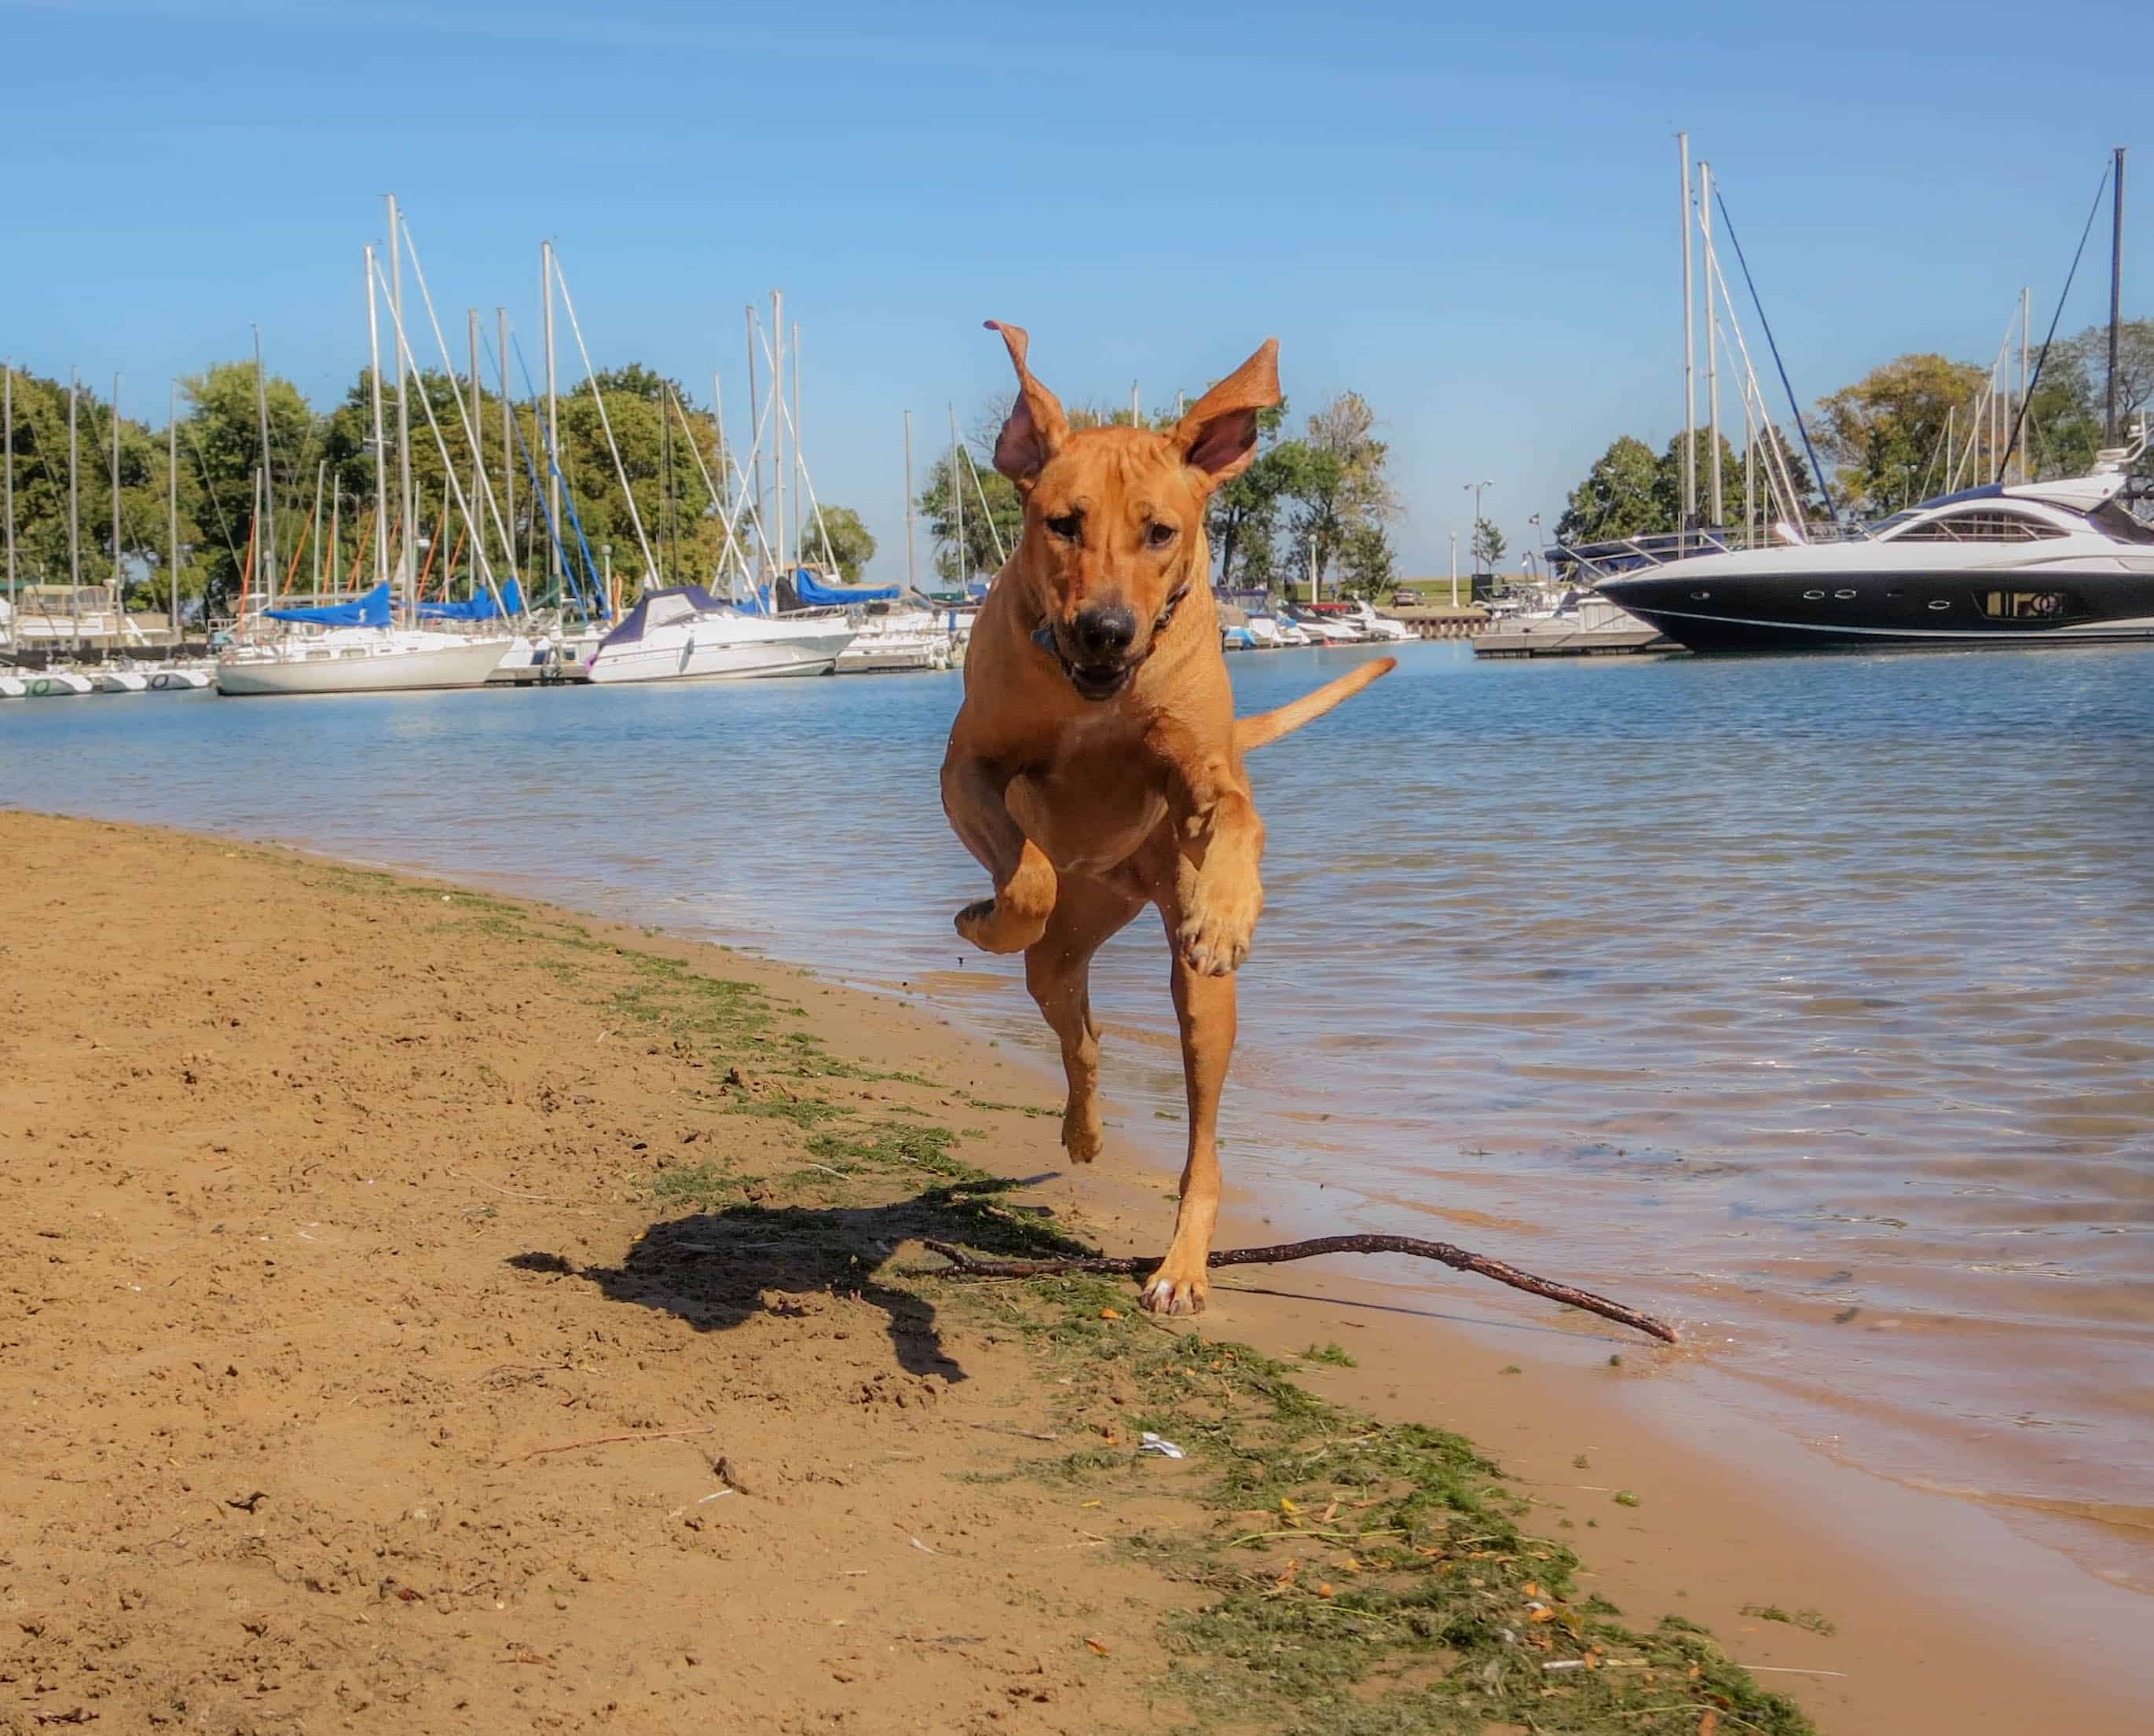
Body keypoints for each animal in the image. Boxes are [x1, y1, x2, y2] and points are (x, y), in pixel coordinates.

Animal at [943, 318, 1395, 1309]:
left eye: (1161, 532)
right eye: (1061, 523)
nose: (1107, 629)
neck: (1093, 695)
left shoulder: (1203, 771)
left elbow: (1239, 816)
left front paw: (1227, 911)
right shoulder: (969, 768)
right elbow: (1025, 874)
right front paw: (987, 912)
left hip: (1202, 1011)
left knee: (1202, 1139)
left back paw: (1182, 1263)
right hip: (1064, 952)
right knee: (1080, 1034)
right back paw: (1082, 1126)